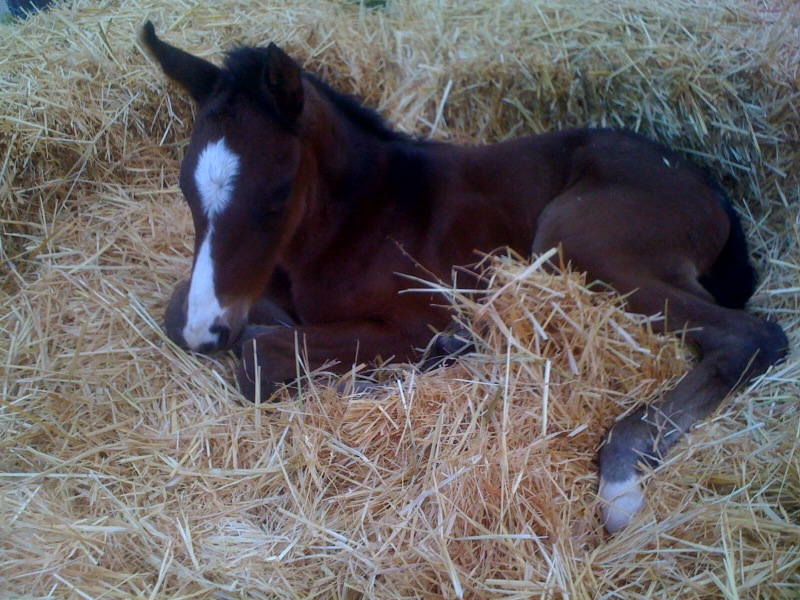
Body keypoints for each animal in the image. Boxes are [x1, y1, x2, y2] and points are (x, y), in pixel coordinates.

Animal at [142, 23, 788, 532]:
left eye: (277, 194)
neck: (356, 217)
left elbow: (263, 358)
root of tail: (705, 184)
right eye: (185, 186)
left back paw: (621, 475)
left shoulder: (417, 318)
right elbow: (181, 306)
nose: (209, 332)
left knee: (751, 336)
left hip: (575, 238)